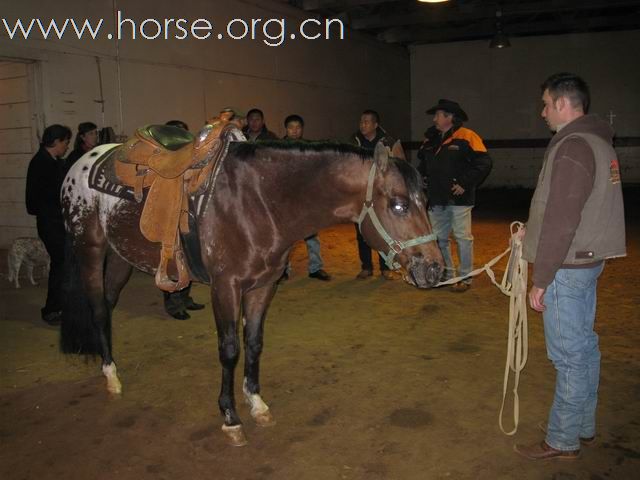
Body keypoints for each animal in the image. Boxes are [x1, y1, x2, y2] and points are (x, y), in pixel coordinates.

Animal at [60, 131, 442, 446]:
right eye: (398, 204)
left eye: (425, 201)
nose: (435, 269)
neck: (259, 201)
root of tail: (82, 161)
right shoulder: (225, 287)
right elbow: (230, 349)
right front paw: (230, 417)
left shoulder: (263, 285)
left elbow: (255, 343)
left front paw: (256, 403)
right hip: (89, 251)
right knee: (98, 309)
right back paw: (111, 378)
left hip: (121, 257)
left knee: (109, 305)